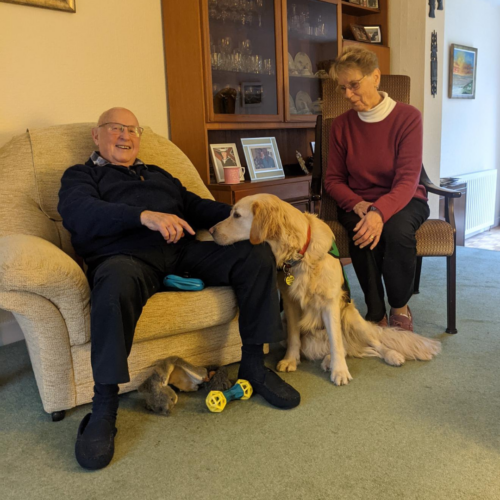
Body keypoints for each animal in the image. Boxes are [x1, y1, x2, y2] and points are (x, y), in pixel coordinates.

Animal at [211, 193, 442, 384]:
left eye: (236, 215)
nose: (211, 231)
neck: (300, 254)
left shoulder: (330, 303)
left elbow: (336, 342)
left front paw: (340, 371)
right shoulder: (290, 304)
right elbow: (295, 337)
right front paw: (290, 360)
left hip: (352, 319)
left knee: (369, 342)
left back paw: (389, 355)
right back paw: (325, 360)